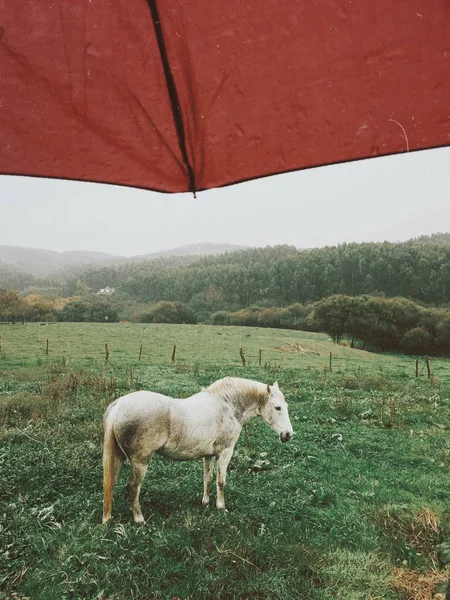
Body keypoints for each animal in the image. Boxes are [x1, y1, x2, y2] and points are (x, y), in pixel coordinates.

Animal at [101, 378, 292, 524]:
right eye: (277, 407)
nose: (288, 434)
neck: (227, 406)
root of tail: (119, 406)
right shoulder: (225, 453)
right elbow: (221, 481)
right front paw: (221, 507)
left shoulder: (208, 455)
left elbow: (207, 479)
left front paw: (205, 502)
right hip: (140, 462)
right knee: (133, 488)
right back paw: (139, 519)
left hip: (118, 458)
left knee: (111, 483)